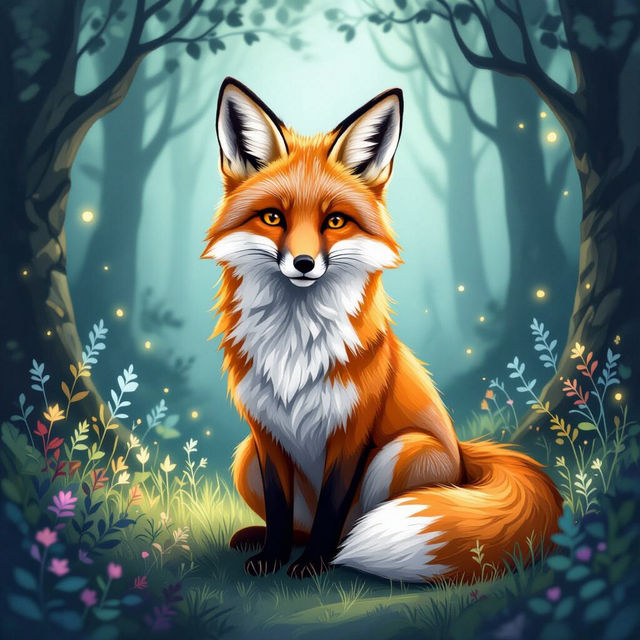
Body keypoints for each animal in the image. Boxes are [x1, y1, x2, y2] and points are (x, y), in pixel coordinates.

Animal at [201, 77, 562, 582]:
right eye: (273, 217)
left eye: (335, 221)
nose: (304, 263)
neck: (295, 342)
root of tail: (464, 455)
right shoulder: (265, 433)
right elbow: (278, 507)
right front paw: (273, 556)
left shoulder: (353, 433)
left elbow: (333, 511)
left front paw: (313, 565)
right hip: (244, 458)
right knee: (298, 522)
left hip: (399, 454)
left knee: (355, 525)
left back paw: (341, 556)